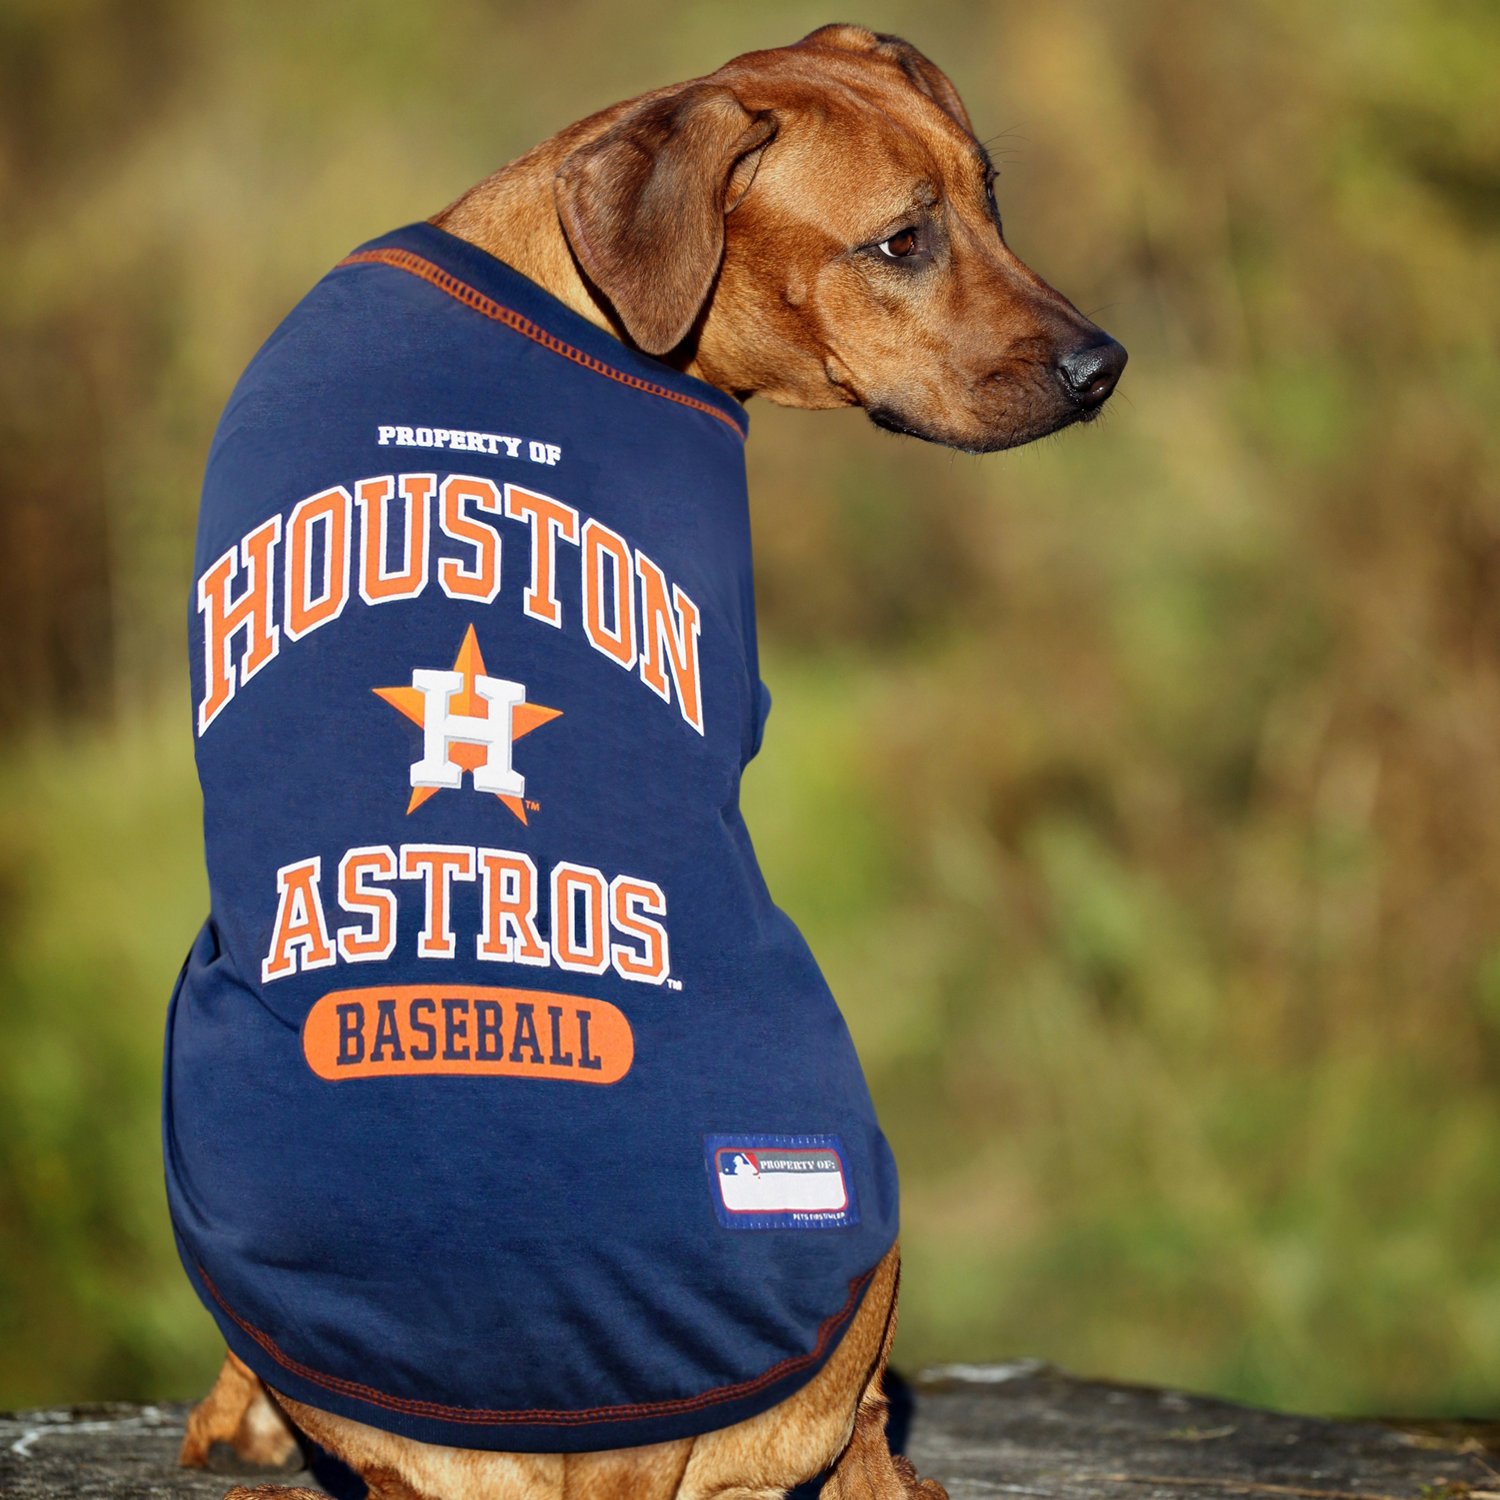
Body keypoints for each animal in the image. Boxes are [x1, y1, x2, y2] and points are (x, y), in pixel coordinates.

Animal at [175, 23, 1122, 1500]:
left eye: (991, 199)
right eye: (901, 240)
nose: (1104, 366)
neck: (576, 281)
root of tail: (583, 1435)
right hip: (868, 1208)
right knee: (858, 1418)